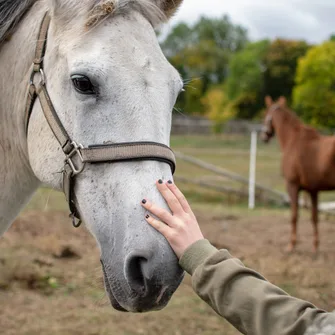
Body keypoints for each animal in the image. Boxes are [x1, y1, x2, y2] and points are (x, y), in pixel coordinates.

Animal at [262, 96, 335, 253]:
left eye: (266, 114)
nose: (263, 136)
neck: (292, 140)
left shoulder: (292, 186)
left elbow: (294, 216)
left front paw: (291, 245)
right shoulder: (313, 190)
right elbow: (314, 217)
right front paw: (315, 246)